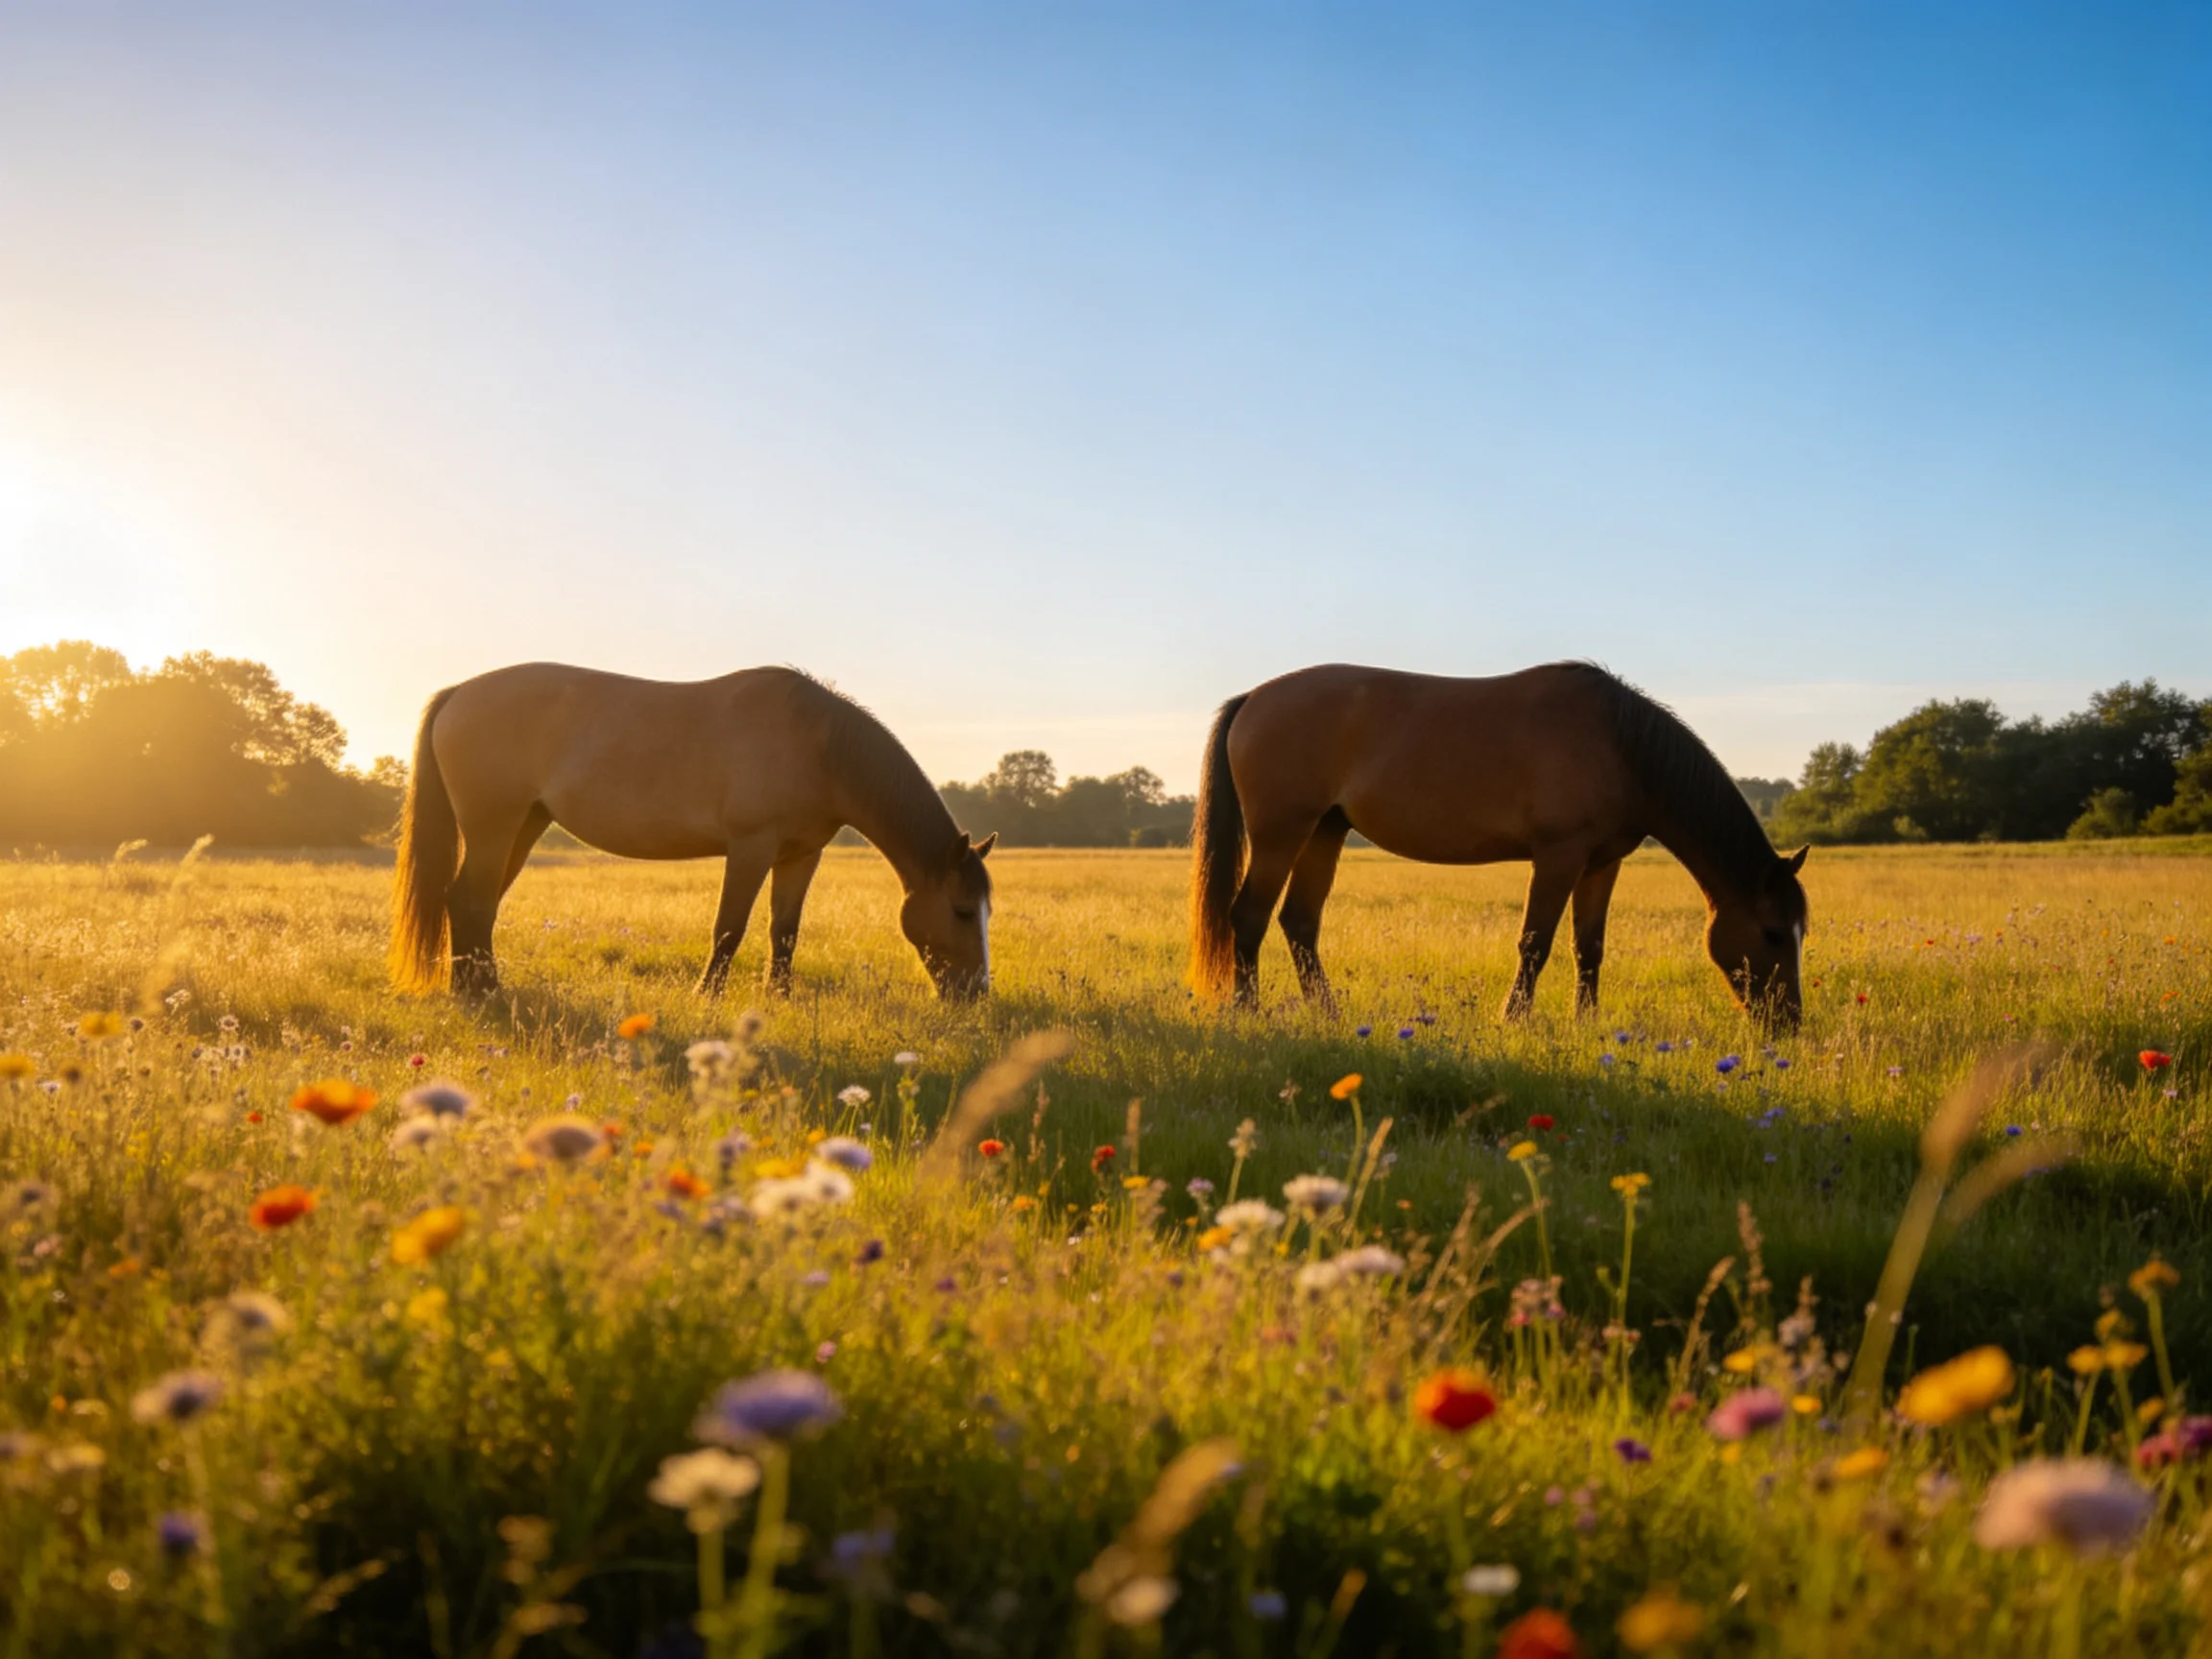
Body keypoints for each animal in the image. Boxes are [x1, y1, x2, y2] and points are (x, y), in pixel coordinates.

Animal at [389, 664, 995, 1000]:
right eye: (963, 911)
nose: (978, 995)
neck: (817, 747)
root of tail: (460, 692)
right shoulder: (751, 848)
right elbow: (729, 928)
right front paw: (707, 994)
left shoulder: (801, 856)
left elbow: (785, 931)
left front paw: (779, 997)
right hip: (495, 827)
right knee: (470, 900)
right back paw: (484, 992)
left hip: (524, 825)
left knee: (474, 902)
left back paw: (472, 987)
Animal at [1188, 662, 1808, 1027]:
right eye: (1774, 933)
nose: (1789, 1023)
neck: (1621, 744)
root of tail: (1254, 697)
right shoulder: (1559, 856)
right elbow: (1535, 943)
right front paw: (1514, 1018)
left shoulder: (1601, 864)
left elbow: (1590, 947)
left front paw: (1586, 1024)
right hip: (1282, 834)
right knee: (1248, 917)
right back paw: (1249, 1011)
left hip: (1324, 831)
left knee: (1299, 922)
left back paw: (1329, 1013)